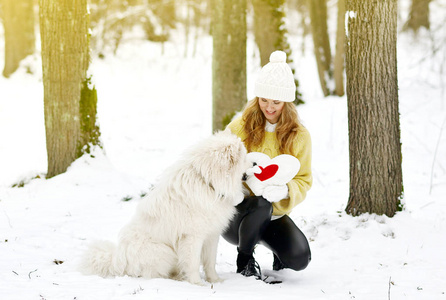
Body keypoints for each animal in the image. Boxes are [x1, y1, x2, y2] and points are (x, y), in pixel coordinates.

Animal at [79, 130, 249, 284]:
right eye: (245, 157)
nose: (252, 166)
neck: (207, 183)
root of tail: (118, 259)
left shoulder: (211, 235)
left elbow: (210, 262)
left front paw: (215, 281)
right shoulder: (192, 237)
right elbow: (193, 263)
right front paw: (197, 284)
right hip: (164, 252)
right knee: (152, 274)